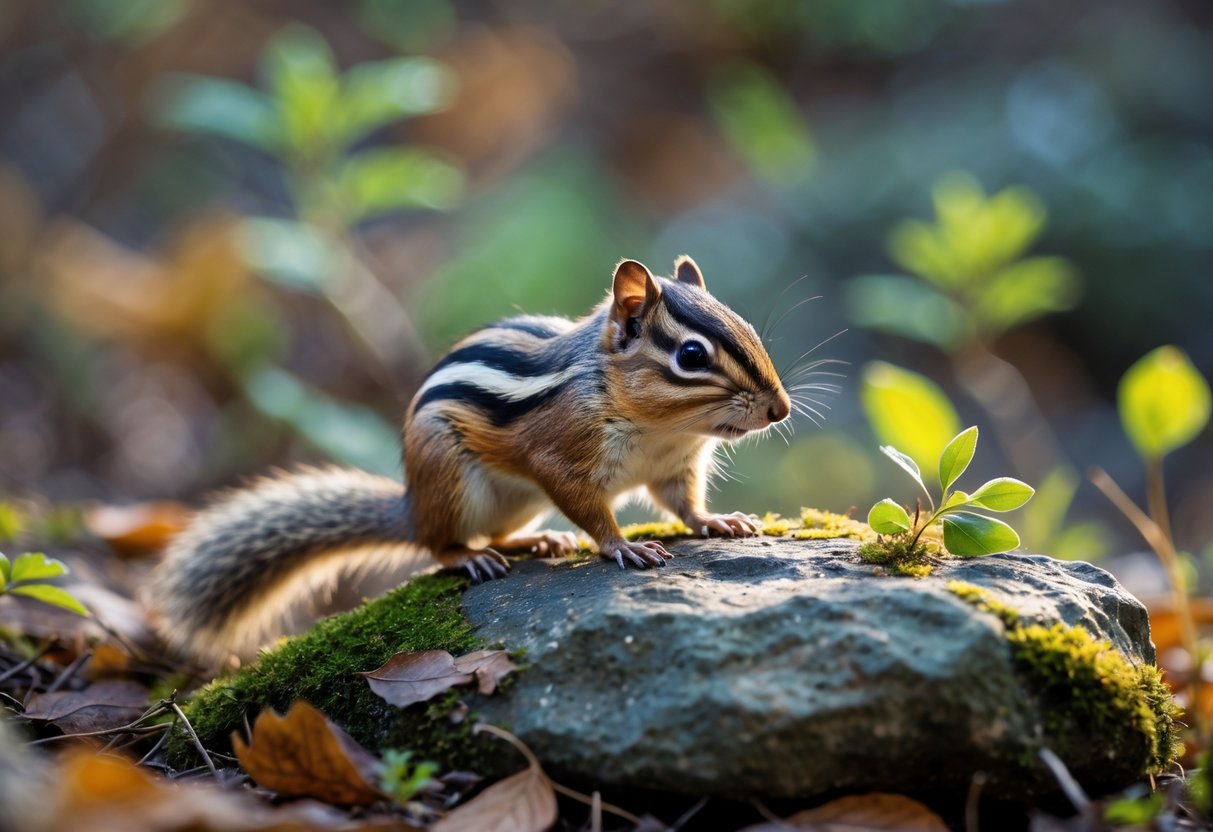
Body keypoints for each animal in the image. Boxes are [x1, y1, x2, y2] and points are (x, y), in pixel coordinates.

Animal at [153, 256, 792, 663]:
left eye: (748, 327)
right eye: (692, 355)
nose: (780, 409)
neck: (662, 429)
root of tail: (412, 505)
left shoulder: (674, 468)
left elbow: (684, 505)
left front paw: (718, 521)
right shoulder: (561, 459)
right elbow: (591, 508)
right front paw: (623, 546)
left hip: (518, 501)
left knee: (499, 532)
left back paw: (537, 541)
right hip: (454, 481)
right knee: (440, 545)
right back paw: (470, 557)